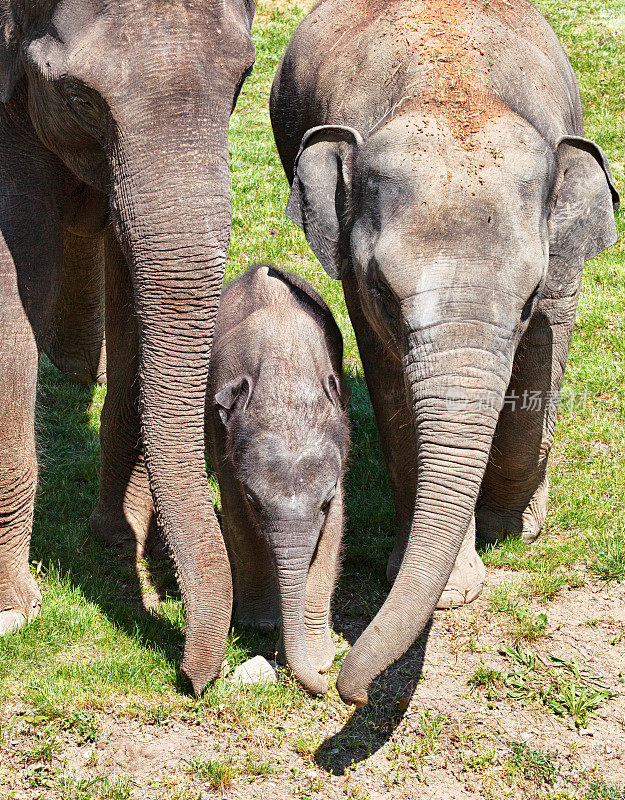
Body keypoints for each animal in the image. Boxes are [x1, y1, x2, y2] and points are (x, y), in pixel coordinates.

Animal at [0, 0, 256, 692]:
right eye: (79, 98)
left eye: (244, 78)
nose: (194, 677)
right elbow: (17, 281)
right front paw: (13, 612)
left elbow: (130, 276)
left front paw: (123, 541)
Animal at [206, 262, 348, 692]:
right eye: (256, 501)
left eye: (325, 502)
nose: (330, 686)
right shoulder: (225, 442)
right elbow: (238, 520)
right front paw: (258, 625)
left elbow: (333, 535)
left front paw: (319, 659)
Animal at [270, 0, 620, 700]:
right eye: (383, 288)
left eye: (529, 294)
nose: (345, 684)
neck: (453, 90)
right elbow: (390, 384)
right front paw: (454, 588)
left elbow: (546, 348)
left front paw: (513, 529)